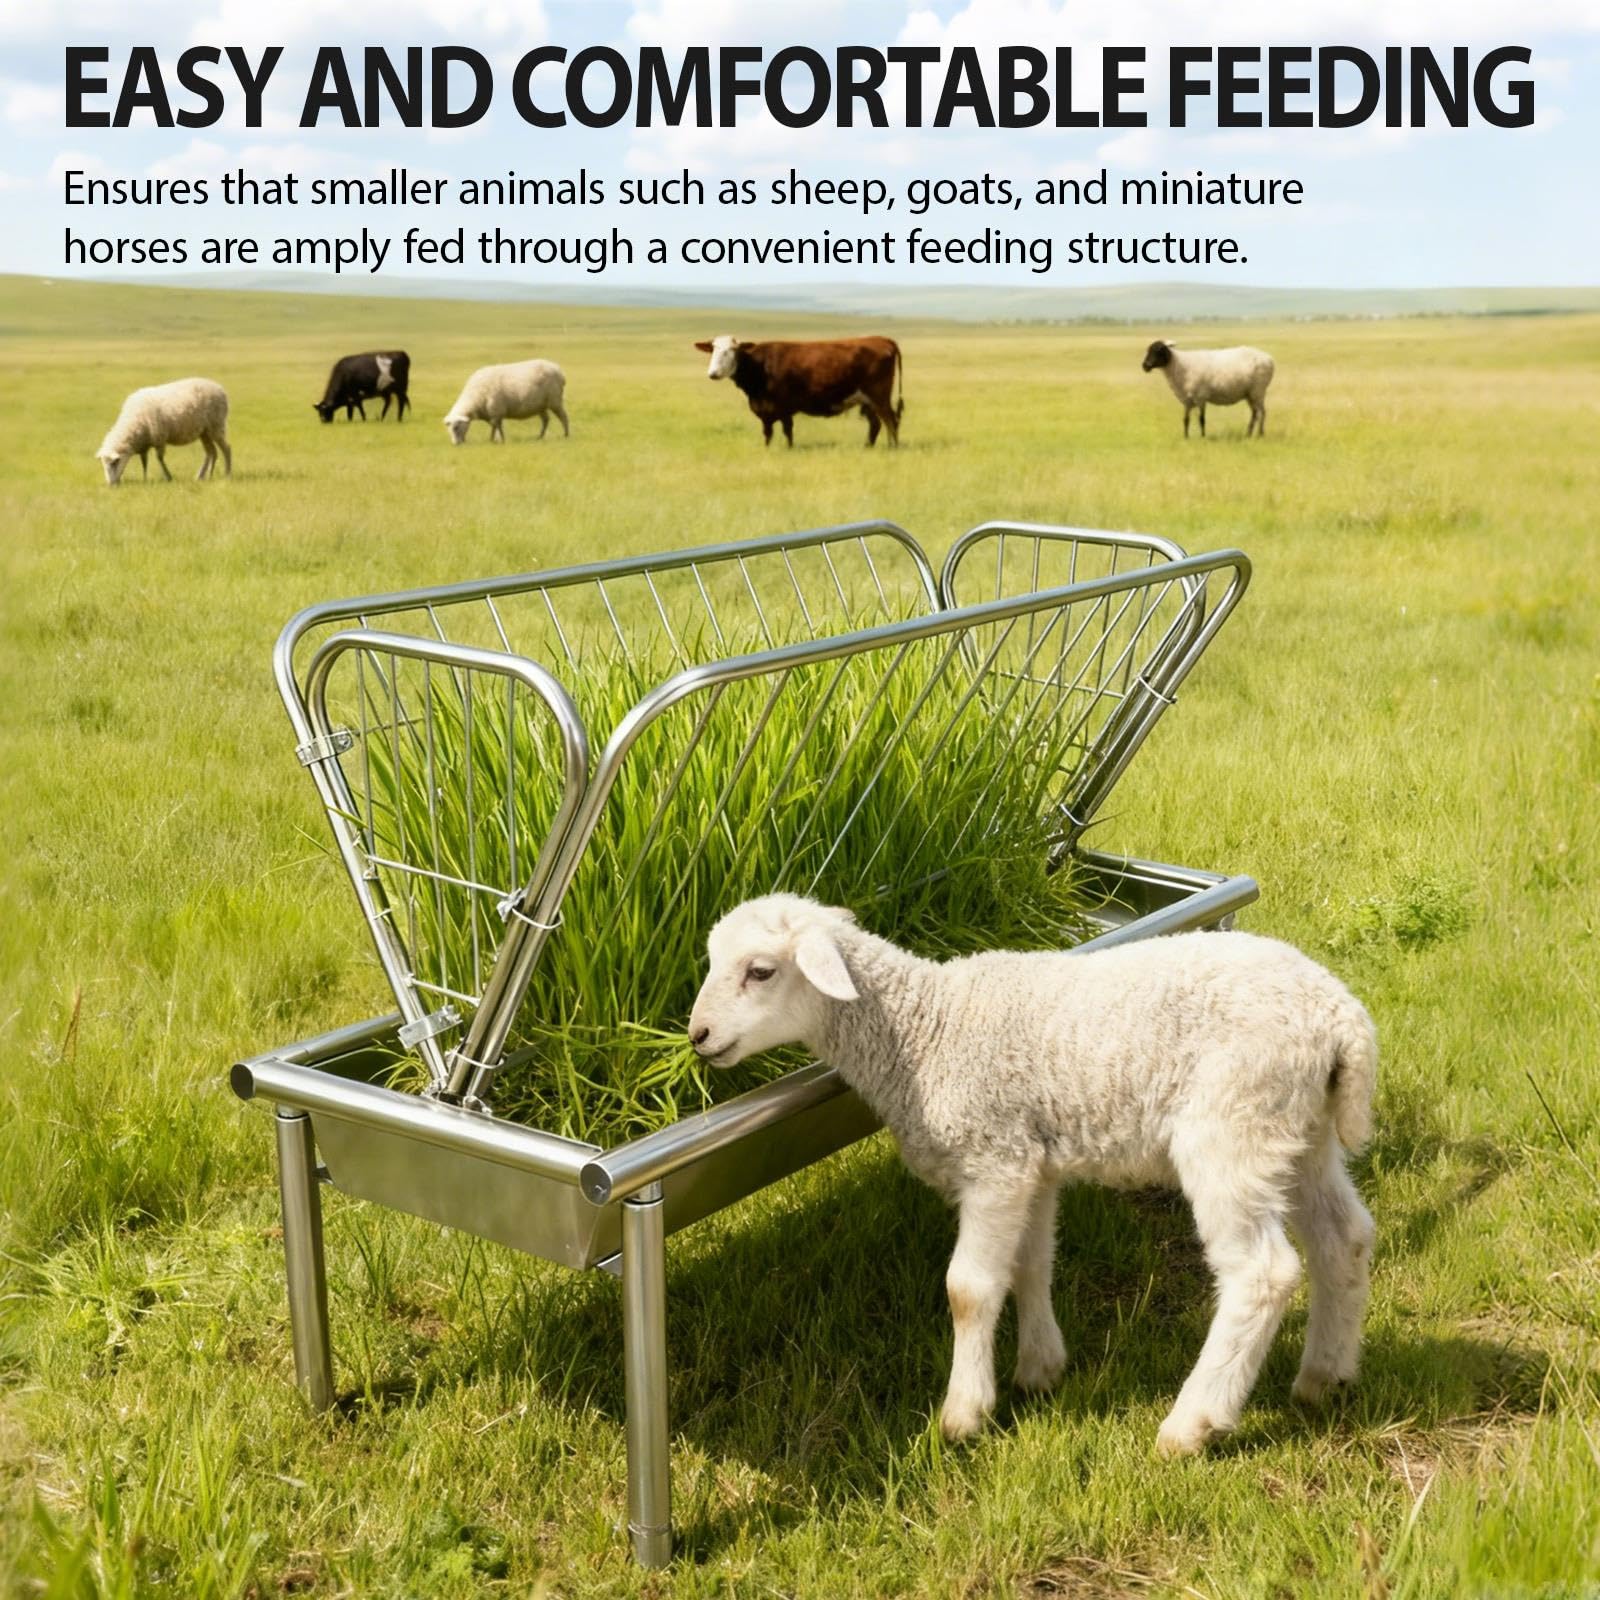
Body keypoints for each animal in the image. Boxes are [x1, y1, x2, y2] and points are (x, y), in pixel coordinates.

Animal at [95, 377, 232, 486]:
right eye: (103, 464)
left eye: (114, 463)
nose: (110, 485)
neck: (132, 424)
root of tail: (219, 388)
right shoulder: (143, 445)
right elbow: (144, 462)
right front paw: (145, 479)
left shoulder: (159, 438)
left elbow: (159, 459)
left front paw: (168, 477)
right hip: (205, 432)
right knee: (211, 452)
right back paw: (204, 476)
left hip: (216, 426)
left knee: (226, 449)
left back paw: (227, 473)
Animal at [689, 894, 1377, 1456]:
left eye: (760, 971)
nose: (698, 1036)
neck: (924, 1032)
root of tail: (1341, 1017)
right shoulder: (1030, 1165)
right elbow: (1030, 1264)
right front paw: (1041, 1369)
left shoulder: (993, 1162)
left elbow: (968, 1289)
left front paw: (964, 1413)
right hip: (1298, 1131)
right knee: (1344, 1237)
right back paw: (1325, 1376)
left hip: (1230, 1128)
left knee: (1262, 1274)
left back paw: (1192, 1423)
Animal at [694, 336, 904, 448]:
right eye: (713, 350)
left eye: (732, 350)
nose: (713, 373)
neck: (760, 366)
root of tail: (882, 339)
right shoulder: (764, 409)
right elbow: (767, 433)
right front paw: (768, 449)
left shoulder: (784, 406)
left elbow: (787, 431)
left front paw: (789, 448)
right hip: (867, 400)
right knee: (876, 423)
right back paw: (868, 446)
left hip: (879, 396)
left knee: (891, 420)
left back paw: (892, 447)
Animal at [1142, 340, 1274, 438]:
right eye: (1149, 350)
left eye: (1159, 350)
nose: (1145, 366)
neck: (1179, 365)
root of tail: (1269, 359)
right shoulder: (1187, 400)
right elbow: (1186, 420)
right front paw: (1186, 437)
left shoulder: (1201, 397)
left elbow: (1202, 419)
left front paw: (1203, 437)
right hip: (1250, 394)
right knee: (1255, 413)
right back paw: (1248, 434)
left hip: (1258, 390)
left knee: (1262, 412)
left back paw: (1260, 434)